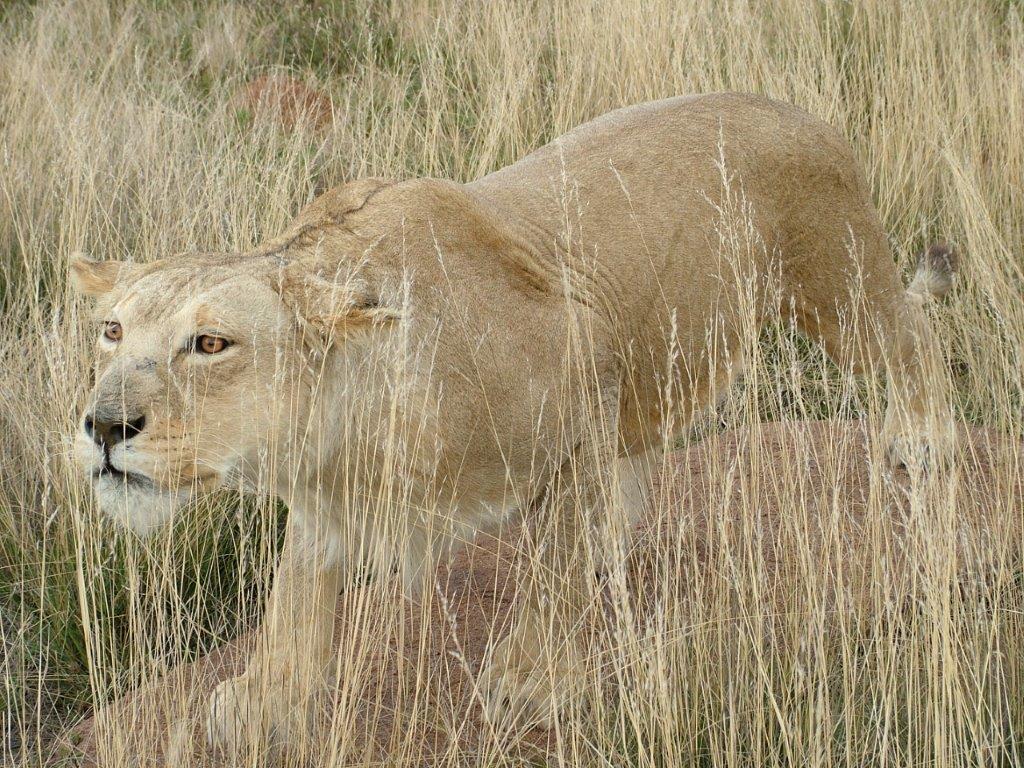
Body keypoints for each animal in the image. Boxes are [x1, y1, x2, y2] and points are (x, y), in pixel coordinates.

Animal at [70, 93, 956, 755]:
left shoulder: (584, 381)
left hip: (840, 280)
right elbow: (294, 599)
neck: (341, 437)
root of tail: (786, 103)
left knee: (913, 338)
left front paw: (532, 683)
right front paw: (264, 703)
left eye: (212, 344)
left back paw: (926, 437)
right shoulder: (325, 505)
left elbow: (554, 574)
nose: (105, 426)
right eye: (111, 331)